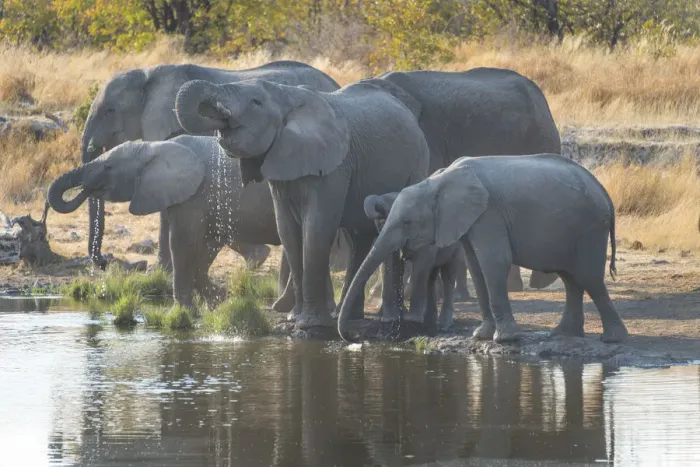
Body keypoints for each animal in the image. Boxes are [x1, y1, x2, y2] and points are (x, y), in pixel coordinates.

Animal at [47, 135, 339, 310]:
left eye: (108, 168)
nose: (106, 263)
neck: (154, 147)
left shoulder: (195, 195)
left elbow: (182, 243)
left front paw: (185, 311)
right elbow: (206, 247)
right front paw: (219, 300)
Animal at [174, 78, 431, 329]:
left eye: (256, 102)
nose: (220, 115)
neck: (287, 94)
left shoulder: (333, 167)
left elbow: (317, 228)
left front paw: (310, 325)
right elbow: (287, 231)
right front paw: (293, 318)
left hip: (417, 164)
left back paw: (386, 318)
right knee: (360, 238)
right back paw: (348, 314)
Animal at [338, 154, 629, 344]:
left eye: (407, 222)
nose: (352, 337)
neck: (437, 181)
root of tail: (605, 194)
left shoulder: (489, 214)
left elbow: (492, 261)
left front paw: (504, 339)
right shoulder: (469, 219)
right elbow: (476, 267)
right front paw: (482, 335)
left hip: (590, 229)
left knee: (589, 278)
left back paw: (613, 339)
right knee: (571, 280)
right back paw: (563, 334)